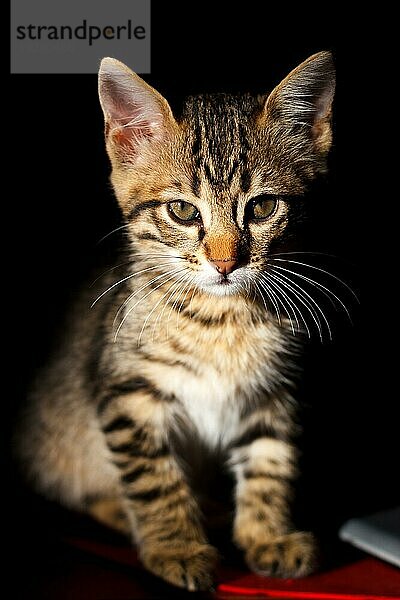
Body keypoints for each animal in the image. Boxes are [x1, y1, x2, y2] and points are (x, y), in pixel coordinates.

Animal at [16, 51, 334, 592]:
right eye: (183, 211)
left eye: (263, 206)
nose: (226, 263)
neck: (223, 320)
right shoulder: (128, 395)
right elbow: (154, 480)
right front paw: (176, 547)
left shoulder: (273, 395)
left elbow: (270, 462)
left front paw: (266, 536)